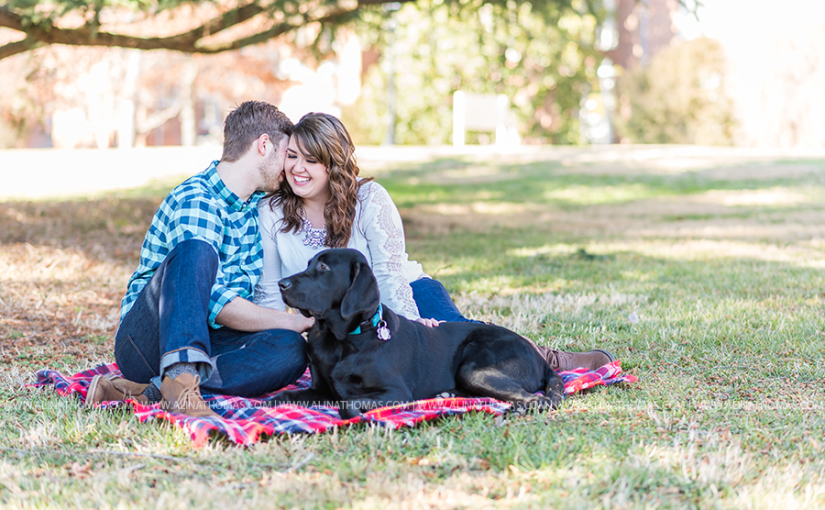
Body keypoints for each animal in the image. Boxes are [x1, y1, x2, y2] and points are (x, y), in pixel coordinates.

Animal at [268, 248, 560, 418]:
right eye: (309, 263)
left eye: (324, 267)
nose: (281, 284)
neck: (342, 339)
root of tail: (540, 357)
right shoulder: (320, 388)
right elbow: (284, 396)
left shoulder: (395, 391)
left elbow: (347, 403)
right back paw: (448, 396)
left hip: (475, 369)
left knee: (539, 398)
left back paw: (517, 409)